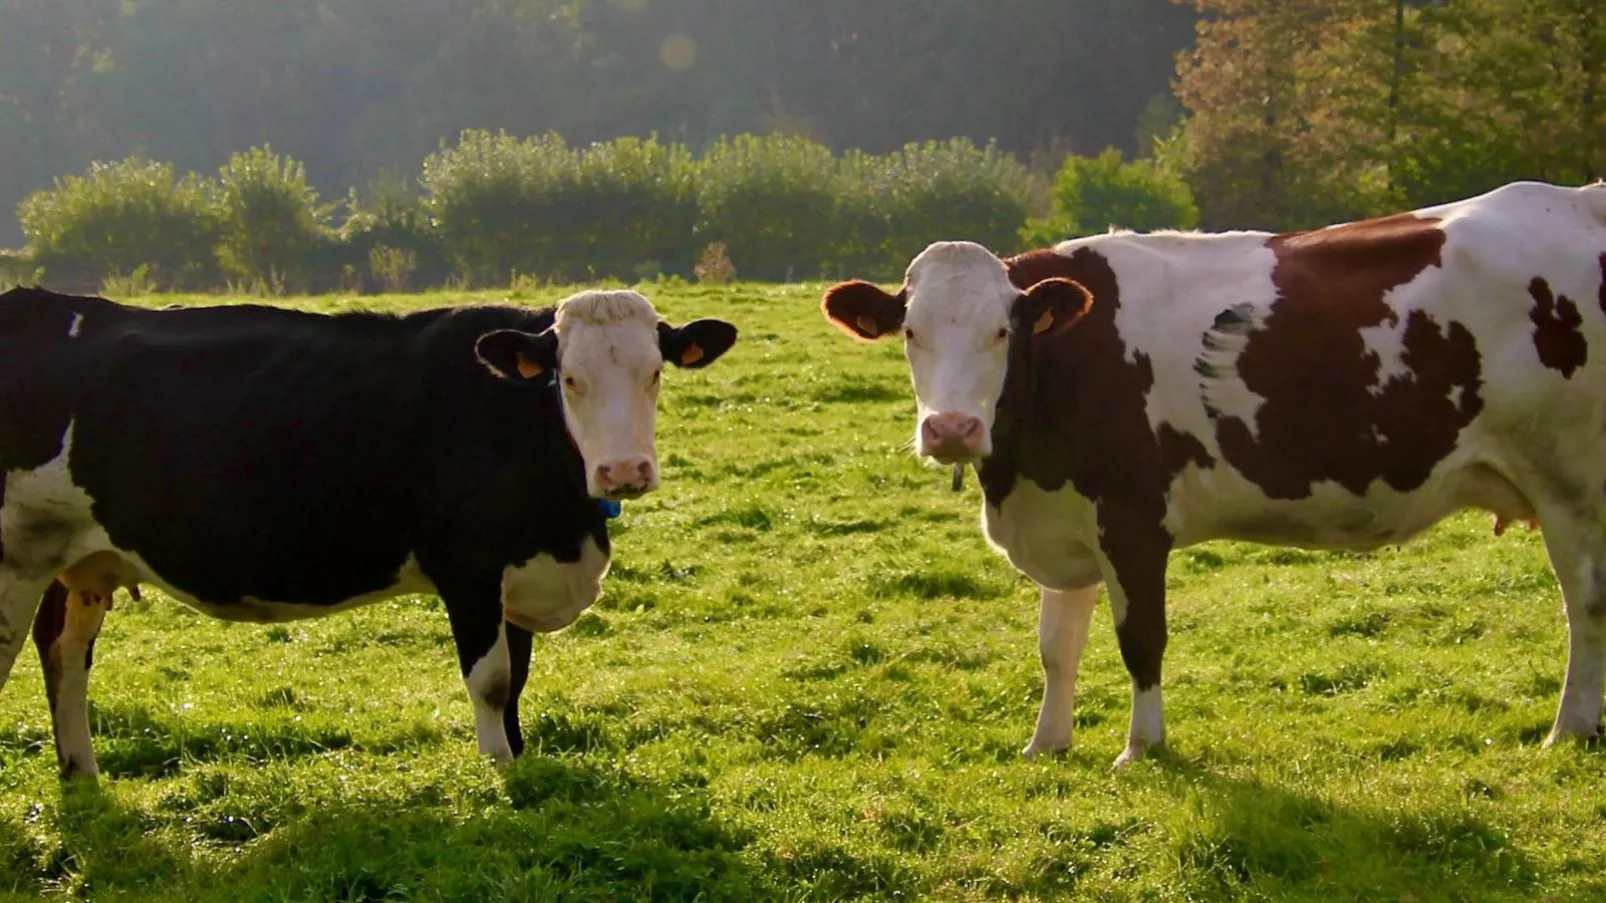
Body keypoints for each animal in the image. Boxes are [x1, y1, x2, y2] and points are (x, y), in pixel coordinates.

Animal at [0, 286, 735, 774]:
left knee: (63, 655)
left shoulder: (516, 570)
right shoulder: (468, 569)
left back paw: (81, 773)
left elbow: (519, 677)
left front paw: (520, 761)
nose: (623, 471)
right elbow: (493, 679)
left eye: (655, 372)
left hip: (78, 562)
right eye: (570, 378)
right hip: (16, 557)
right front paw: (499, 772)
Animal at [822, 179, 1606, 761]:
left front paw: (1142, 748)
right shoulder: (1065, 514)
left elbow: (1141, 641)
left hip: (1571, 483)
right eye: (911, 331)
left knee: (1585, 604)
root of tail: (1578, 198)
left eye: (1001, 331)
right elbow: (1055, 648)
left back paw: (1568, 729)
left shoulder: (1132, 521)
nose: (952, 429)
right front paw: (1046, 746)